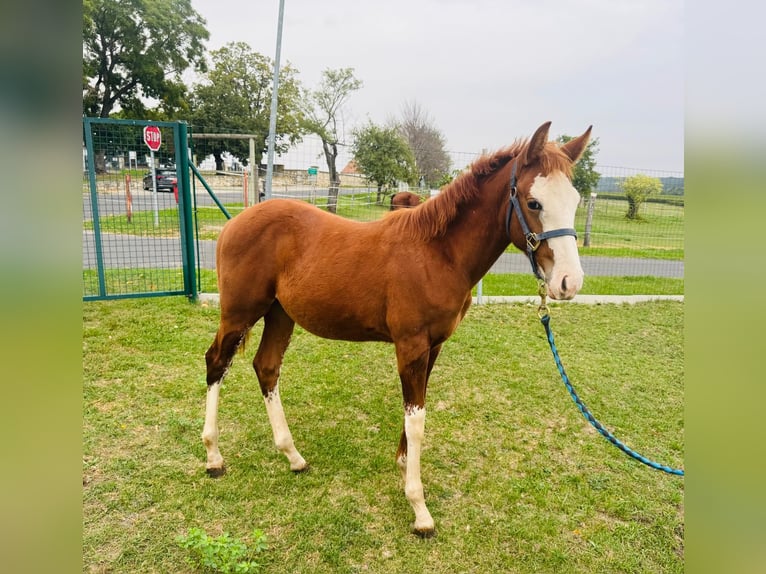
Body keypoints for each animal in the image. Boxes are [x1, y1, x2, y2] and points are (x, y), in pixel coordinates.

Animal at [202, 121, 592, 537]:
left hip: (279, 314)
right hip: (240, 313)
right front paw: (419, 508)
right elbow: (416, 419)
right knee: (216, 362)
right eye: (534, 203)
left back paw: (293, 456)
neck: (438, 253)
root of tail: (234, 223)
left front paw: (405, 464)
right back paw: (214, 456)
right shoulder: (410, 346)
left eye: (574, 200)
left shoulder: (434, 346)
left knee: (267, 367)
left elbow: (417, 410)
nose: (569, 282)